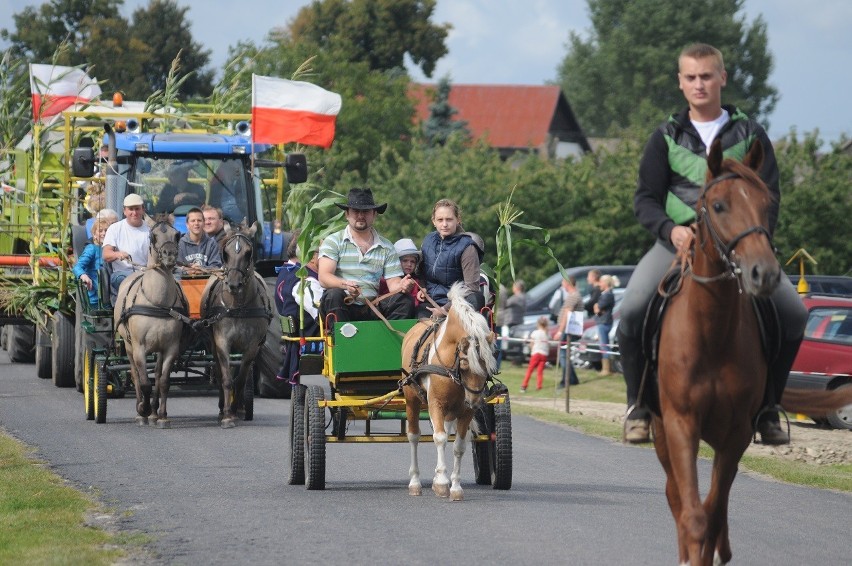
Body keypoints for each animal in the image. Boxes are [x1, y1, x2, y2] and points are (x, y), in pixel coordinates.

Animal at [114, 220, 189, 428]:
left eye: (177, 235)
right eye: (152, 236)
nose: (169, 255)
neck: (157, 303)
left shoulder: (171, 348)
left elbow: (163, 381)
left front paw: (161, 415)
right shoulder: (139, 348)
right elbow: (145, 382)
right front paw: (143, 410)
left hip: (159, 349)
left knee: (155, 373)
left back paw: (154, 413)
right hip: (128, 345)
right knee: (134, 374)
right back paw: (142, 410)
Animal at [402, 282, 496, 502]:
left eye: (488, 366)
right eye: (465, 363)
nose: (476, 401)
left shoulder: (465, 411)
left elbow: (459, 445)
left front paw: (455, 487)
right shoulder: (435, 403)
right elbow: (439, 438)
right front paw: (442, 483)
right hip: (412, 400)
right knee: (414, 436)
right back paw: (415, 483)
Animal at [652, 140, 852, 564]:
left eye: (765, 202)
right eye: (718, 205)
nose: (765, 273)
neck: (711, 332)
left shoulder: (736, 435)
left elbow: (712, 513)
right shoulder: (680, 425)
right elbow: (692, 514)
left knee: (717, 509)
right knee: (677, 498)